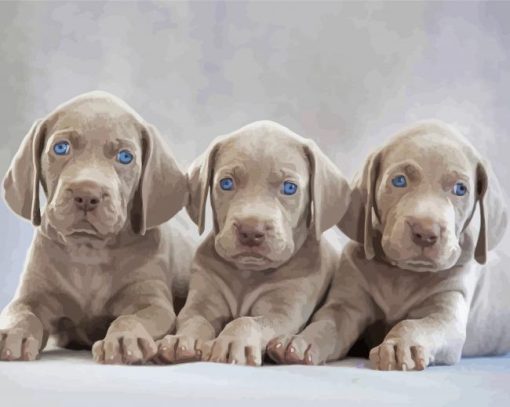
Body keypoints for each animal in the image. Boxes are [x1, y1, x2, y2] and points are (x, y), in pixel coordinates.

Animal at [0, 91, 193, 364]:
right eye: (61, 148)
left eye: (125, 157)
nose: (86, 194)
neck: (88, 251)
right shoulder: (32, 296)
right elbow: (20, 313)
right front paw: (14, 334)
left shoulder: (152, 303)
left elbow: (130, 317)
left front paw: (124, 340)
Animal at [156, 121, 350, 366]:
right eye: (226, 183)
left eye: (289, 188)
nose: (250, 231)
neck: (247, 274)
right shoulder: (201, 303)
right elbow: (194, 320)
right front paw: (182, 340)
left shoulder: (282, 313)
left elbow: (247, 321)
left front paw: (231, 342)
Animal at [268, 120, 508, 370]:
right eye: (399, 180)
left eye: (460, 189)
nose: (425, 232)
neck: (404, 274)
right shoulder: (346, 304)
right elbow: (326, 323)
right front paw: (299, 342)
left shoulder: (447, 314)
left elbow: (413, 324)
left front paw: (399, 346)